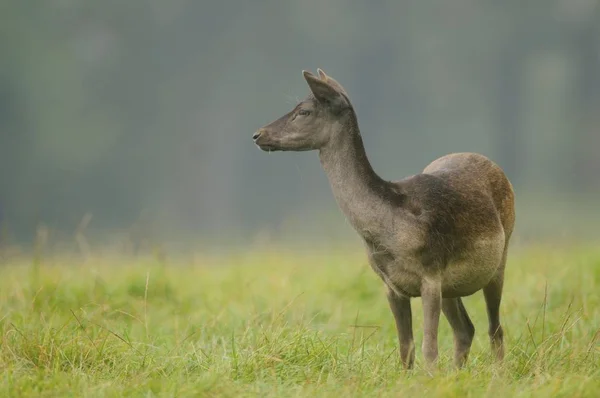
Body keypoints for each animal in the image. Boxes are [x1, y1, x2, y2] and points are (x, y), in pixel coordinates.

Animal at [253, 68, 516, 370]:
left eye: (304, 111)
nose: (258, 134)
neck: (387, 234)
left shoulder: (431, 274)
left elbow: (429, 348)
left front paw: (430, 377)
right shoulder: (391, 286)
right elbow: (406, 348)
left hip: (500, 256)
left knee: (494, 328)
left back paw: (498, 373)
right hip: (452, 286)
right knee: (466, 329)